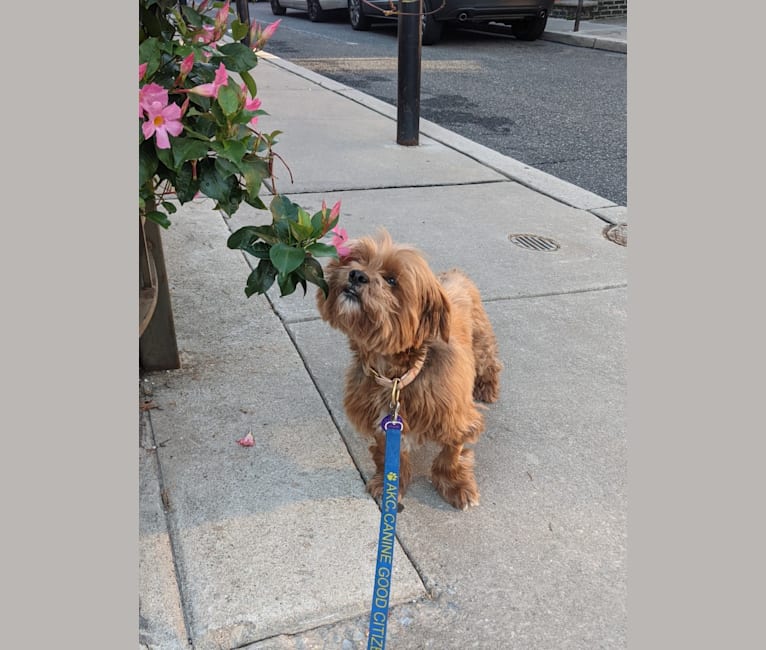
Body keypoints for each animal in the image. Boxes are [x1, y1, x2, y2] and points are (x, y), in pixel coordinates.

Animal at [318, 230, 504, 508]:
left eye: (392, 280)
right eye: (354, 260)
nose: (356, 275)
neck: (395, 376)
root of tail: (454, 273)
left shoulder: (456, 418)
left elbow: (452, 452)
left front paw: (455, 483)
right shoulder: (383, 421)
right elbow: (387, 453)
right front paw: (390, 484)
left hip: (481, 341)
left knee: (490, 361)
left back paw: (488, 387)